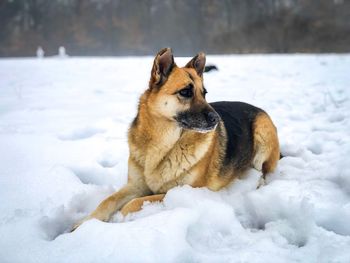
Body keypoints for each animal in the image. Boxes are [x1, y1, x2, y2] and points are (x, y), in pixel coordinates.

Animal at [72, 49, 280, 231]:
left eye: (204, 93)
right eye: (186, 92)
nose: (216, 119)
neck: (162, 144)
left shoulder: (180, 192)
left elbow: (133, 203)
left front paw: (118, 220)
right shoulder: (135, 186)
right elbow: (108, 201)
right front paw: (84, 223)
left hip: (262, 133)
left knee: (263, 172)